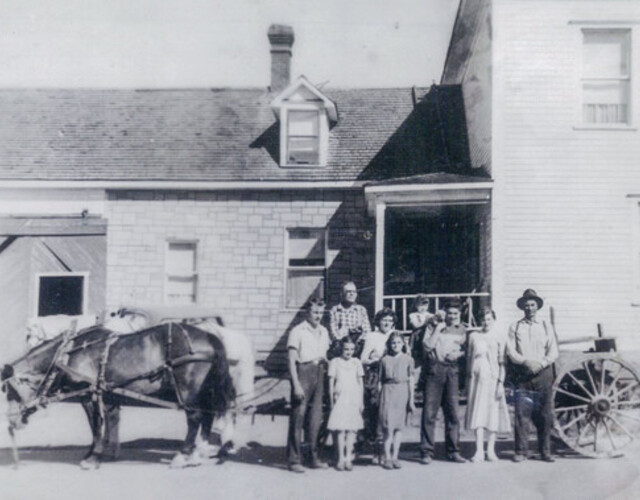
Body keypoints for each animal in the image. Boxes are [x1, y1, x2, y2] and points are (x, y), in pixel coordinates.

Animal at [0, 320, 235, 468]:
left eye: (10, 390)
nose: (12, 423)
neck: (68, 353)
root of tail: (209, 336)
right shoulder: (108, 395)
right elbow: (109, 423)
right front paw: (102, 453)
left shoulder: (89, 395)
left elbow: (96, 426)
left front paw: (92, 457)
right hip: (204, 390)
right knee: (207, 417)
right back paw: (197, 454)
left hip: (188, 390)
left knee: (195, 418)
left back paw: (182, 456)